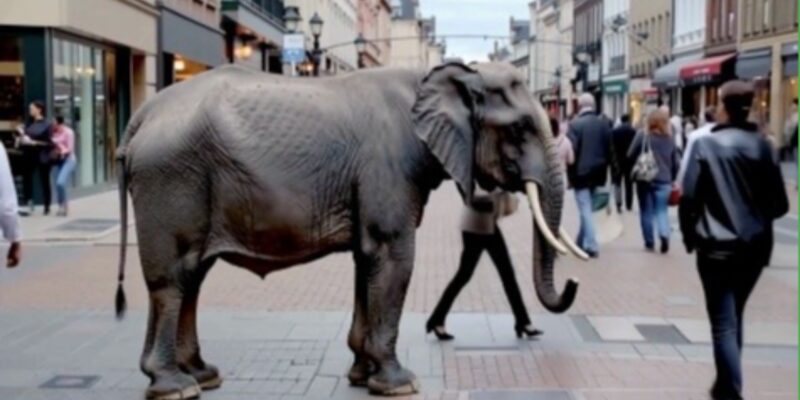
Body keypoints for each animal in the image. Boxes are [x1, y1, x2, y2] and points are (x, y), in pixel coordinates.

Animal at [114, 61, 587, 400]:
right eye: (520, 128)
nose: (573, 284)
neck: (440, 74)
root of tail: (141, 117)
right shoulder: (388, 167)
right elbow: (394, 256)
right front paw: (399, 383)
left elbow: (368, 260)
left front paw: (361, 375)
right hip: (173, 179)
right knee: (174, 278)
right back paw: (175, 387)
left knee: (192, 276)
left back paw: (202, 375)